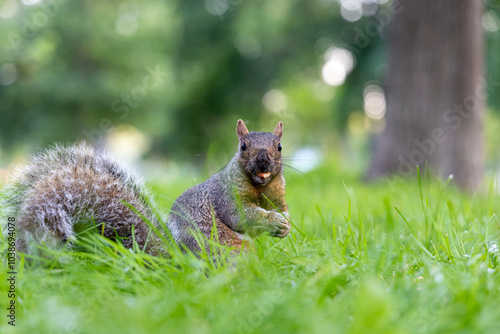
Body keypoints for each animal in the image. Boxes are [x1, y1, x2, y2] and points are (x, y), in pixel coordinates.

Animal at [0, 120, 292, 256]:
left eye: (279, 146)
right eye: (243, 146)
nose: (263, 159)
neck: (260, 188)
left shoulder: (278, 195)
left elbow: (280, 210)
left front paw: (285, 224)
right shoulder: (226, 195)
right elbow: (242, 216)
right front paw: (272, 221)